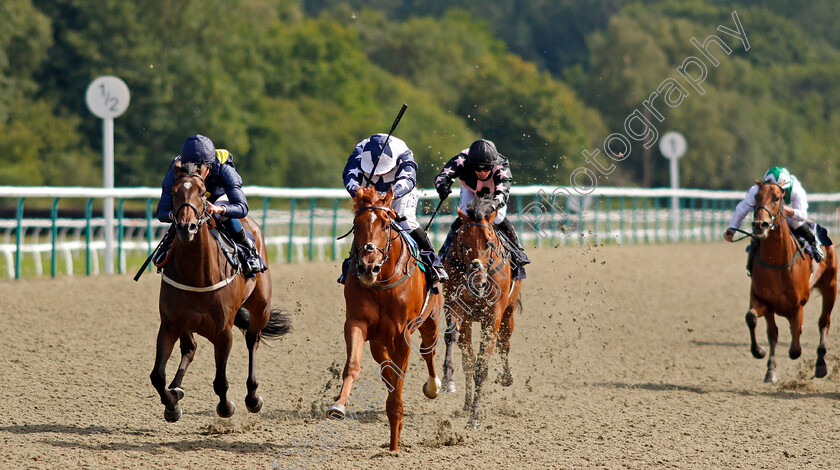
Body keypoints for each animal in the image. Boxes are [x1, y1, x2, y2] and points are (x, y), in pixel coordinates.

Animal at [151, 165, 292, 422]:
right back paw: (176, 389)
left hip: (261, 307)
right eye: (174, 192)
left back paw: (252, 397)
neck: (196, 273)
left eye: (202, 193)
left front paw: (226, 407)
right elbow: (157, 376)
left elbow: (220, 381)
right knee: (190, 348)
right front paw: (172, 405)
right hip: (186, 323)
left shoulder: (223, 331)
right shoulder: (170, 323)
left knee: (252, 340)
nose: (186, 227)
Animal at [326, 185, 446, 452]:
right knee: (386, 368)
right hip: (379, 341)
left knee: (428, 352)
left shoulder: (403, 335)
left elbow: (398, 382)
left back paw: (433, 387)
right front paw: (338, 405)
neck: (382, 283)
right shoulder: (357, 324)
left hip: (430, 322)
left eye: (385, 223)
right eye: (356, 223)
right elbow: (353, 365)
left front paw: (394, 445)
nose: (367, 267)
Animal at [440, 196, 520, 428]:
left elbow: (482, 365)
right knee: (467, 358)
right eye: (463, 242)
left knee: (504, 344)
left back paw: (506, 377)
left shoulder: (493, 317)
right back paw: (466, 403)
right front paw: (448, 380)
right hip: (468, 322)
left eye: (489, 243)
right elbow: (452, 337)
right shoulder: (453, 306)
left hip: (508, 315)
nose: (478, 282)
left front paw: (475, 417)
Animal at [744, 180, 836, 382]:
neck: (776, 261)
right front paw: (761, 354)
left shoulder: (797, 306)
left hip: (830, 287)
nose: (760, 225)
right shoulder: (762, 301)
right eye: (756, 197)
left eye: (776, 198)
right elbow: (754, 321)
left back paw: (821, 365)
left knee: (824, 322)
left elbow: (795, 348)